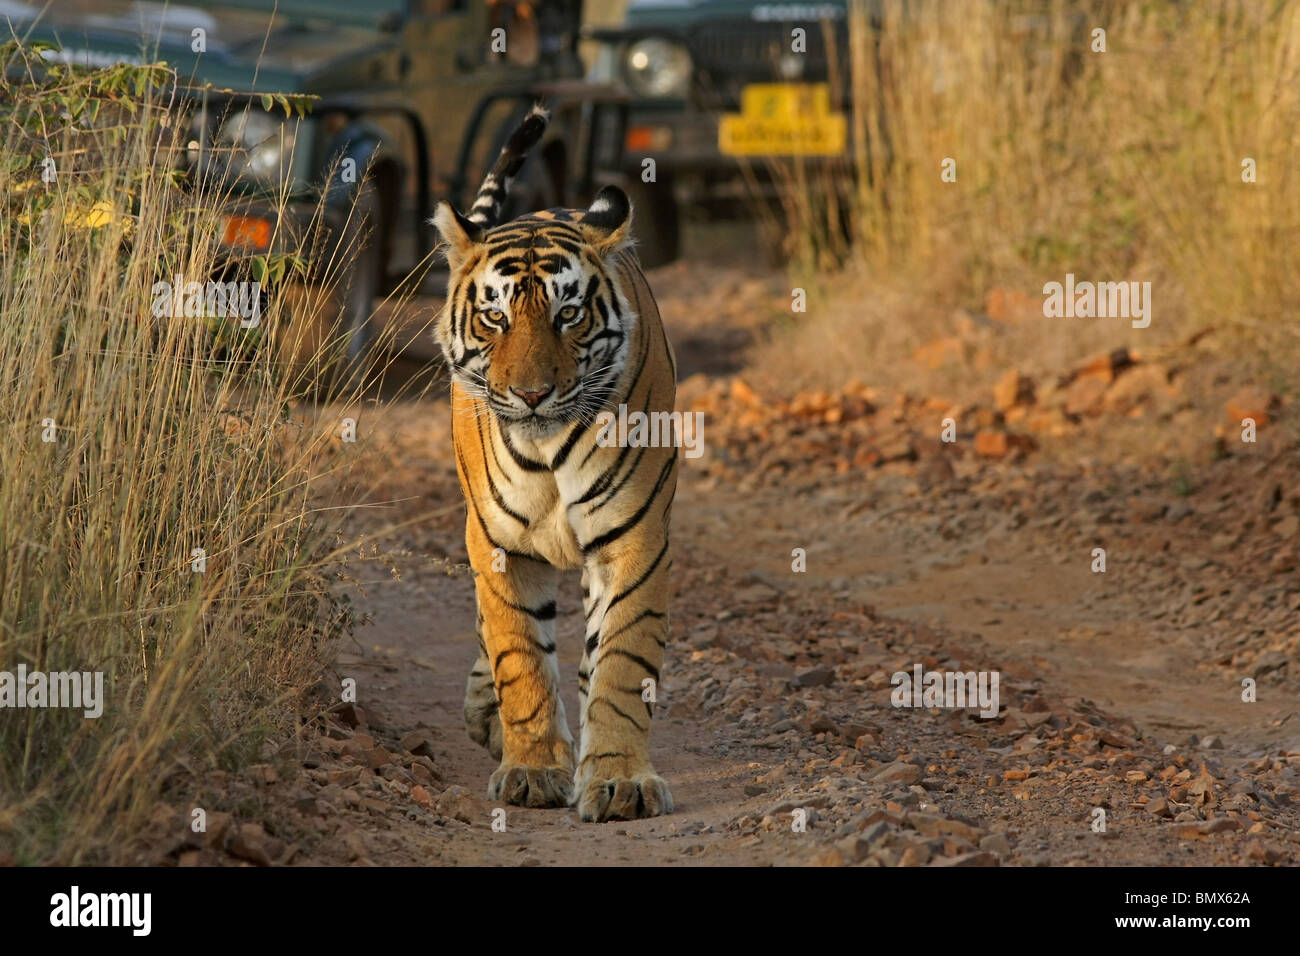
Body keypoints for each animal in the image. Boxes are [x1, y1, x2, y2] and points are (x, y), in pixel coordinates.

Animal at [431, 104, 681, 822]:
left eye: (568, 315)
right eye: (494, 317)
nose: (532, 393)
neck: (547, 451)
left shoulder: (634, 540)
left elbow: (621, 662)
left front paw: (620, 781)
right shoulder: (496, 545)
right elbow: (519, 656)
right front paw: (535, 769)